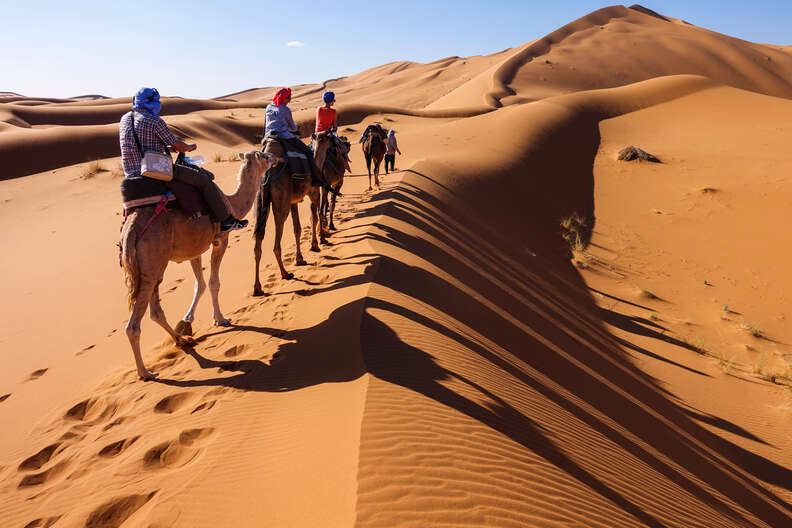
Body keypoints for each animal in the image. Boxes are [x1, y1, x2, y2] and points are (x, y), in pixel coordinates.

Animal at [117, 151, 278, 382]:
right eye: (263, 156)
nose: (275, 157)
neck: (231, 203)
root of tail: (131, 230)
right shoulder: (221, 240)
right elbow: (213, 282)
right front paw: (221, 319)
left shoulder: (195, 249)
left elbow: (199, 284)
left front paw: (188, 320)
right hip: (153, 261)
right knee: (134, 325)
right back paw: (145, 372)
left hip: (151, 266)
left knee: (155, 311)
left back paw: (182, 339)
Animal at [254, 137, 328, 296]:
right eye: (331, 137)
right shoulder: (313, 192)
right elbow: (314, 217)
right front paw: (317, 244)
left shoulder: (293, 201)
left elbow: (297, 228)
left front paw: (299, 259)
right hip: (281, 203)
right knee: (276, 242)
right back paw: (285, 274)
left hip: (261, 202)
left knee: (258, 242)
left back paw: (257, 288)